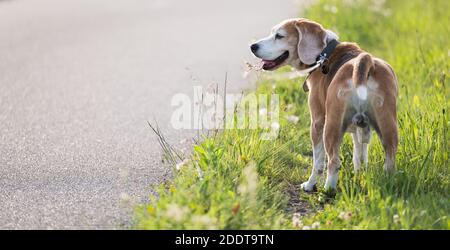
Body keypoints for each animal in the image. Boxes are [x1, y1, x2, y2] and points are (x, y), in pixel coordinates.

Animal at [251, 18, 400, 192]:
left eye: (279, 36)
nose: (253, 46)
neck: (325, 53)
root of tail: (363, 63)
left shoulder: (317, 122)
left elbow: (318, 162)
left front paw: (310, 185)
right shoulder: (359, 128)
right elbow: (359, 156)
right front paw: (359, 175)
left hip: (331, 126)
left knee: (333, 161)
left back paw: (328, 189)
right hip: (387, 126)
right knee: (390, 159)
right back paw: (389, 181)